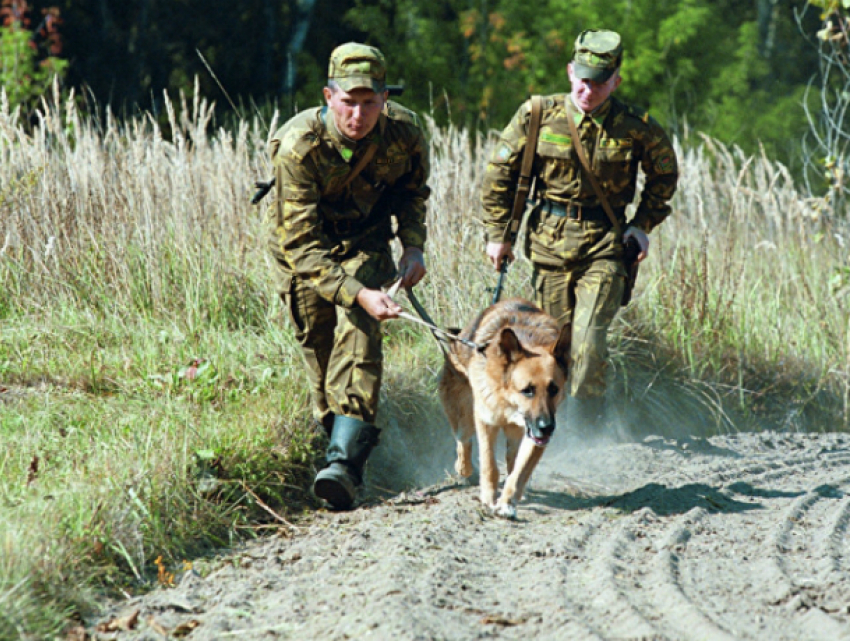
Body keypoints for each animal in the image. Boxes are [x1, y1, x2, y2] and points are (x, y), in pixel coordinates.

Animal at [438, 298, 568, 516]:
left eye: (554, 389)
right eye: (527, 390)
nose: (547, 428)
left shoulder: (532, 435)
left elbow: (519, 471)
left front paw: (507, 503)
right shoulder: (486, 422)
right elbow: (489, 464)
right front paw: (488, 499)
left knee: (512, 460)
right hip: (466, 413)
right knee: (463, 440)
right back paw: (465, 469)